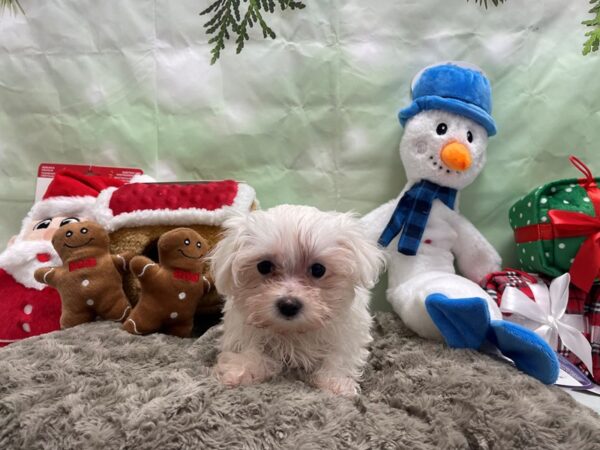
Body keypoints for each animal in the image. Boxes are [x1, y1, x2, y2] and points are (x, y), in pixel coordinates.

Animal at [211, 206, 384, 396]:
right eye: (264, 266)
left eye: (318, 269)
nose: (288, 305)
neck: (293, 331)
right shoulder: (243, 330)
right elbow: (251, 350)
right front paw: (240, 370)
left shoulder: (347, 332)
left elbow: (339, 356)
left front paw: (336, 382)